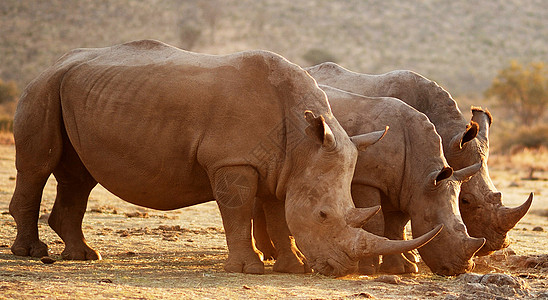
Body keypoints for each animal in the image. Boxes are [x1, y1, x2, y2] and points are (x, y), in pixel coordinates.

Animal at [7, 39, 440, 276]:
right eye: (322, 216)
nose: (344, 271)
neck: (304, 143)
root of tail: (56, 62)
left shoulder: (283, 167)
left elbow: (278, 215)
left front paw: (293, 267)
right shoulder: (233, 161)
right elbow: (237, 209)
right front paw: (248, 269)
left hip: (75, 89)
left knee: (79, 177)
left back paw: (83, 256)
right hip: (42, 87)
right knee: (38, 166)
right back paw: (32, 254)